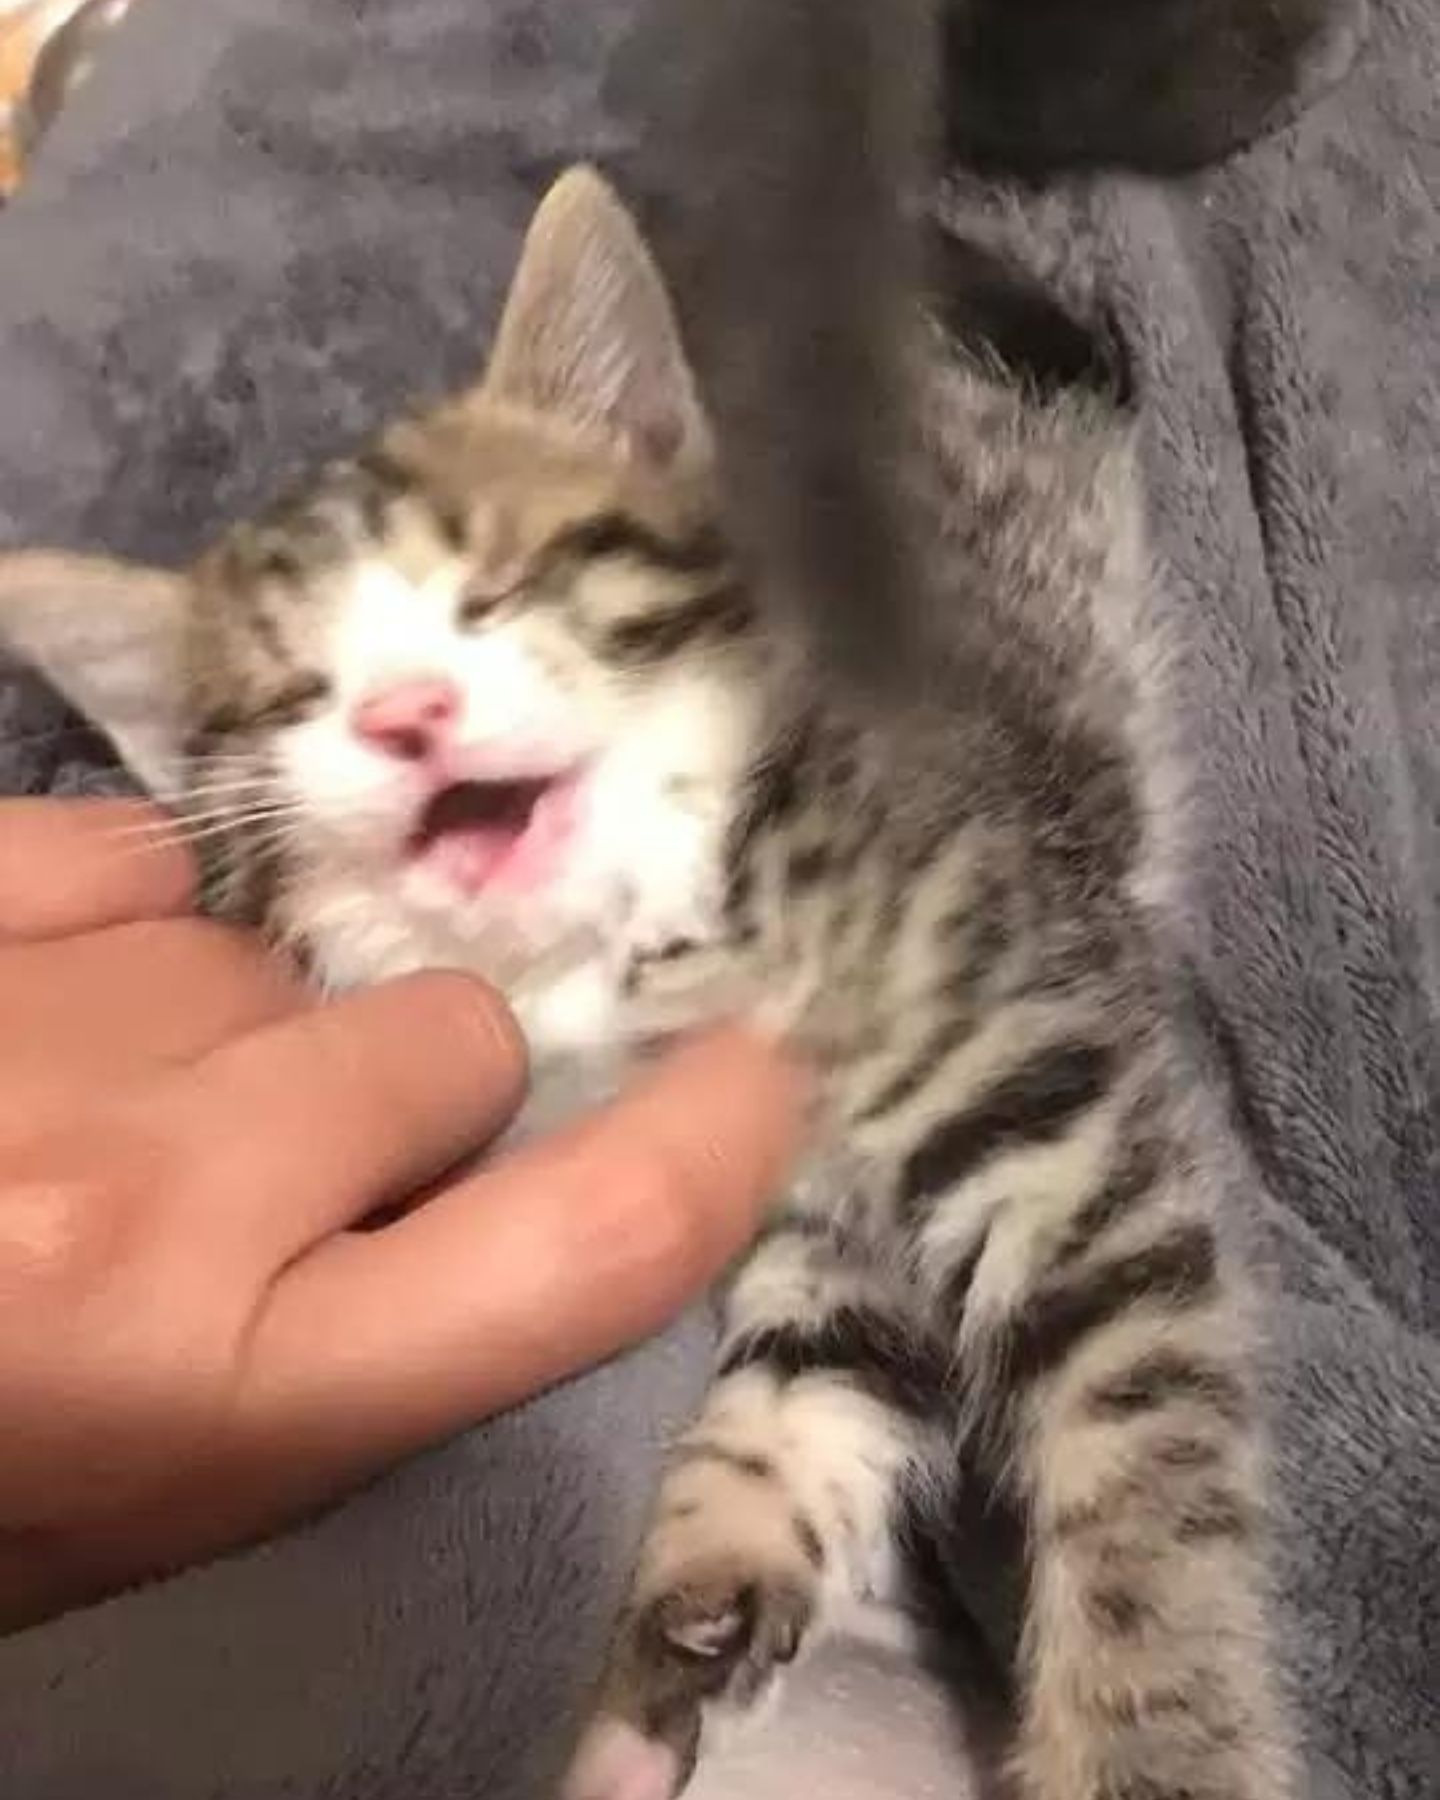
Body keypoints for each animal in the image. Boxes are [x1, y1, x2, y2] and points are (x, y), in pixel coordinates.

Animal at [0, 154, 1296, 1800]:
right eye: (301, 698)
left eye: (496, 590)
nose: (409, 713)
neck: (658, 950)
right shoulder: (815, 1205)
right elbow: (824, 1363)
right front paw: (706, 1591)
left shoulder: (1034, 1071)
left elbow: (1140, 1440)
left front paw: (1156, 1744)